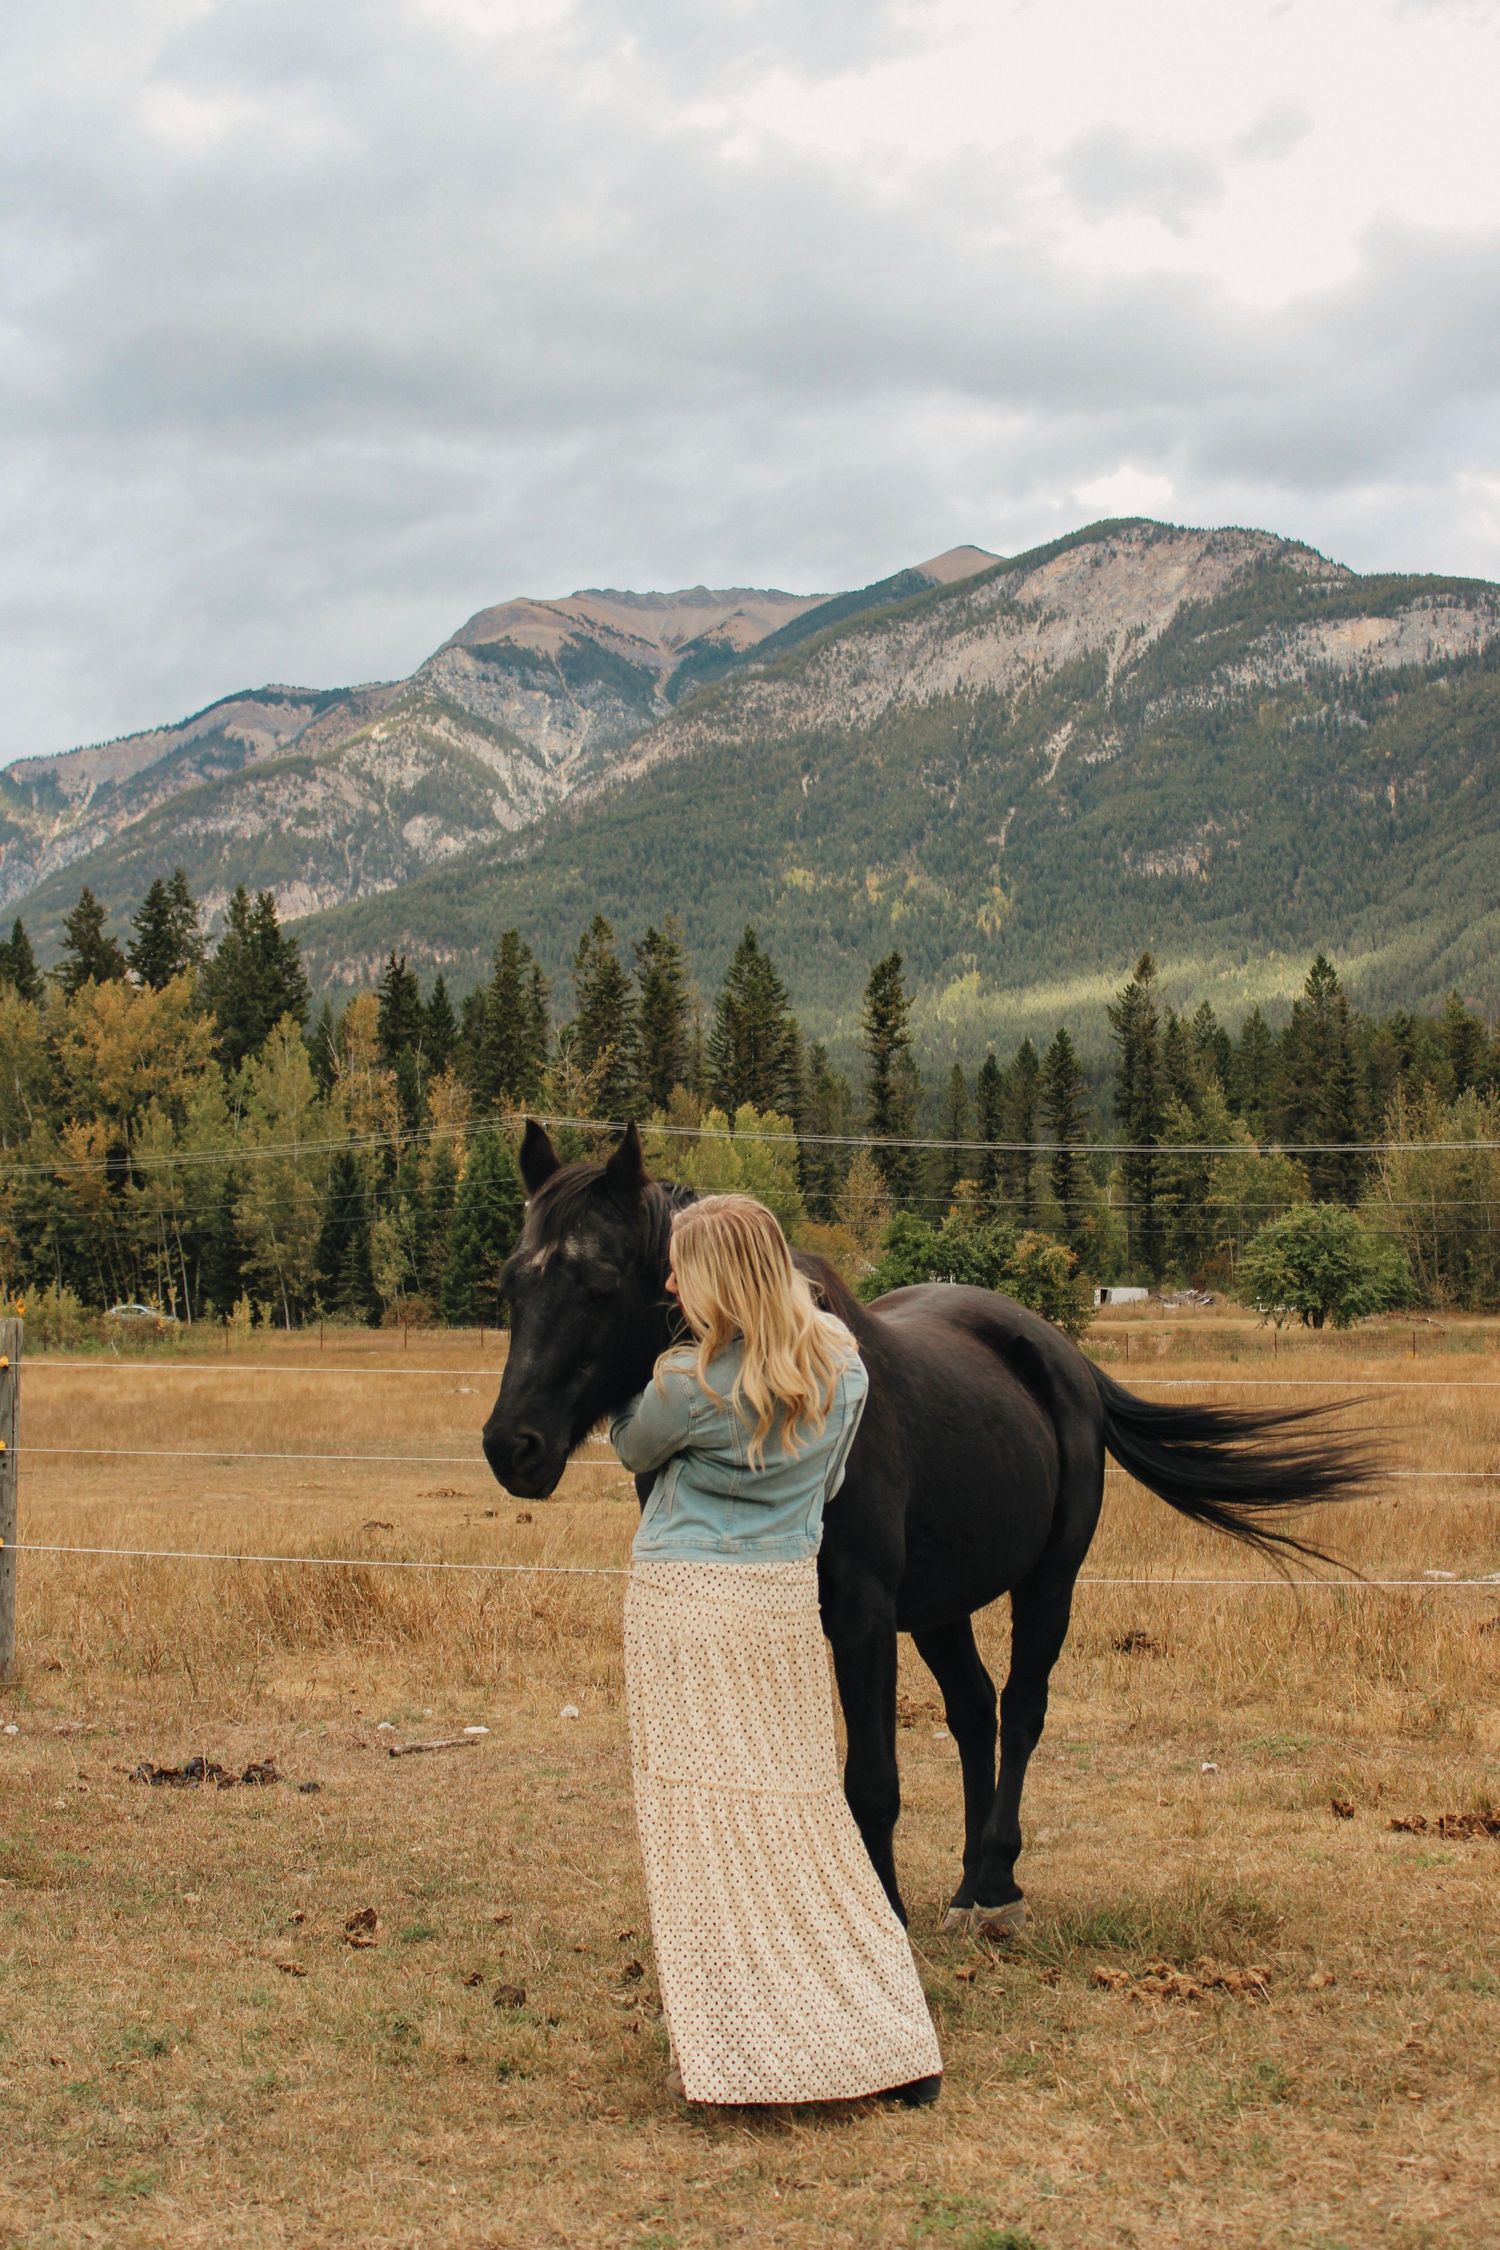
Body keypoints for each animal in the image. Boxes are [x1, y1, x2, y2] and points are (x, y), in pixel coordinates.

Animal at [482, 1121, 1370, 1933]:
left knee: (1022, 1707)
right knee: (976, 1711)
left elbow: (872, 1780)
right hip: (944, 1606)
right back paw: (973, 1881)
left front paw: (884, 1920)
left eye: (599, 1281)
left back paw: (999, 1881)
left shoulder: (864, 1615)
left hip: (1049, 1582)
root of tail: (1063, 1359)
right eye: (511, 1284)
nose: (511, 1446)